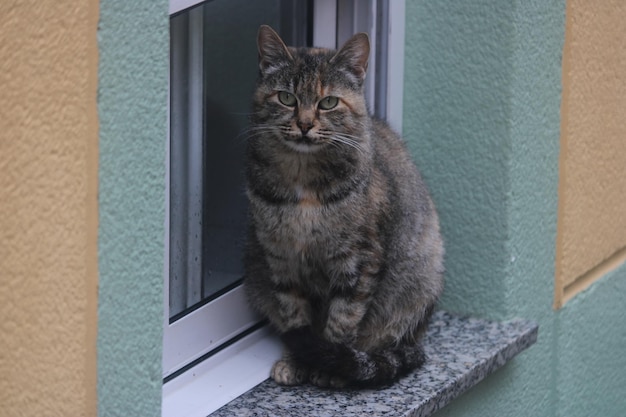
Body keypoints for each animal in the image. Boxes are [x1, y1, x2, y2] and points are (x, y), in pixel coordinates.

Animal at [241, 23, 442, 386]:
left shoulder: (359, 261)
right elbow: (295, 316)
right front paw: (297, 361)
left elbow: (343, 318)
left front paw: (329, 367)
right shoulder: (282, 258)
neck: (303, 181)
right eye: (286, 98)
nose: (305, 124)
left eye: (329, 102)